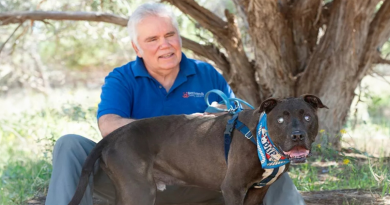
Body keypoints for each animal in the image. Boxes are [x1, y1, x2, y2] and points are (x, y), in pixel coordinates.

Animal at [68, 94, 328, 205]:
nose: (297, 136)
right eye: (281, 120)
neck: (260, 139)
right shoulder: (233, 188)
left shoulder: (257, 191)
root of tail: (113, 136)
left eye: (307, 117)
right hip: (139, 191)